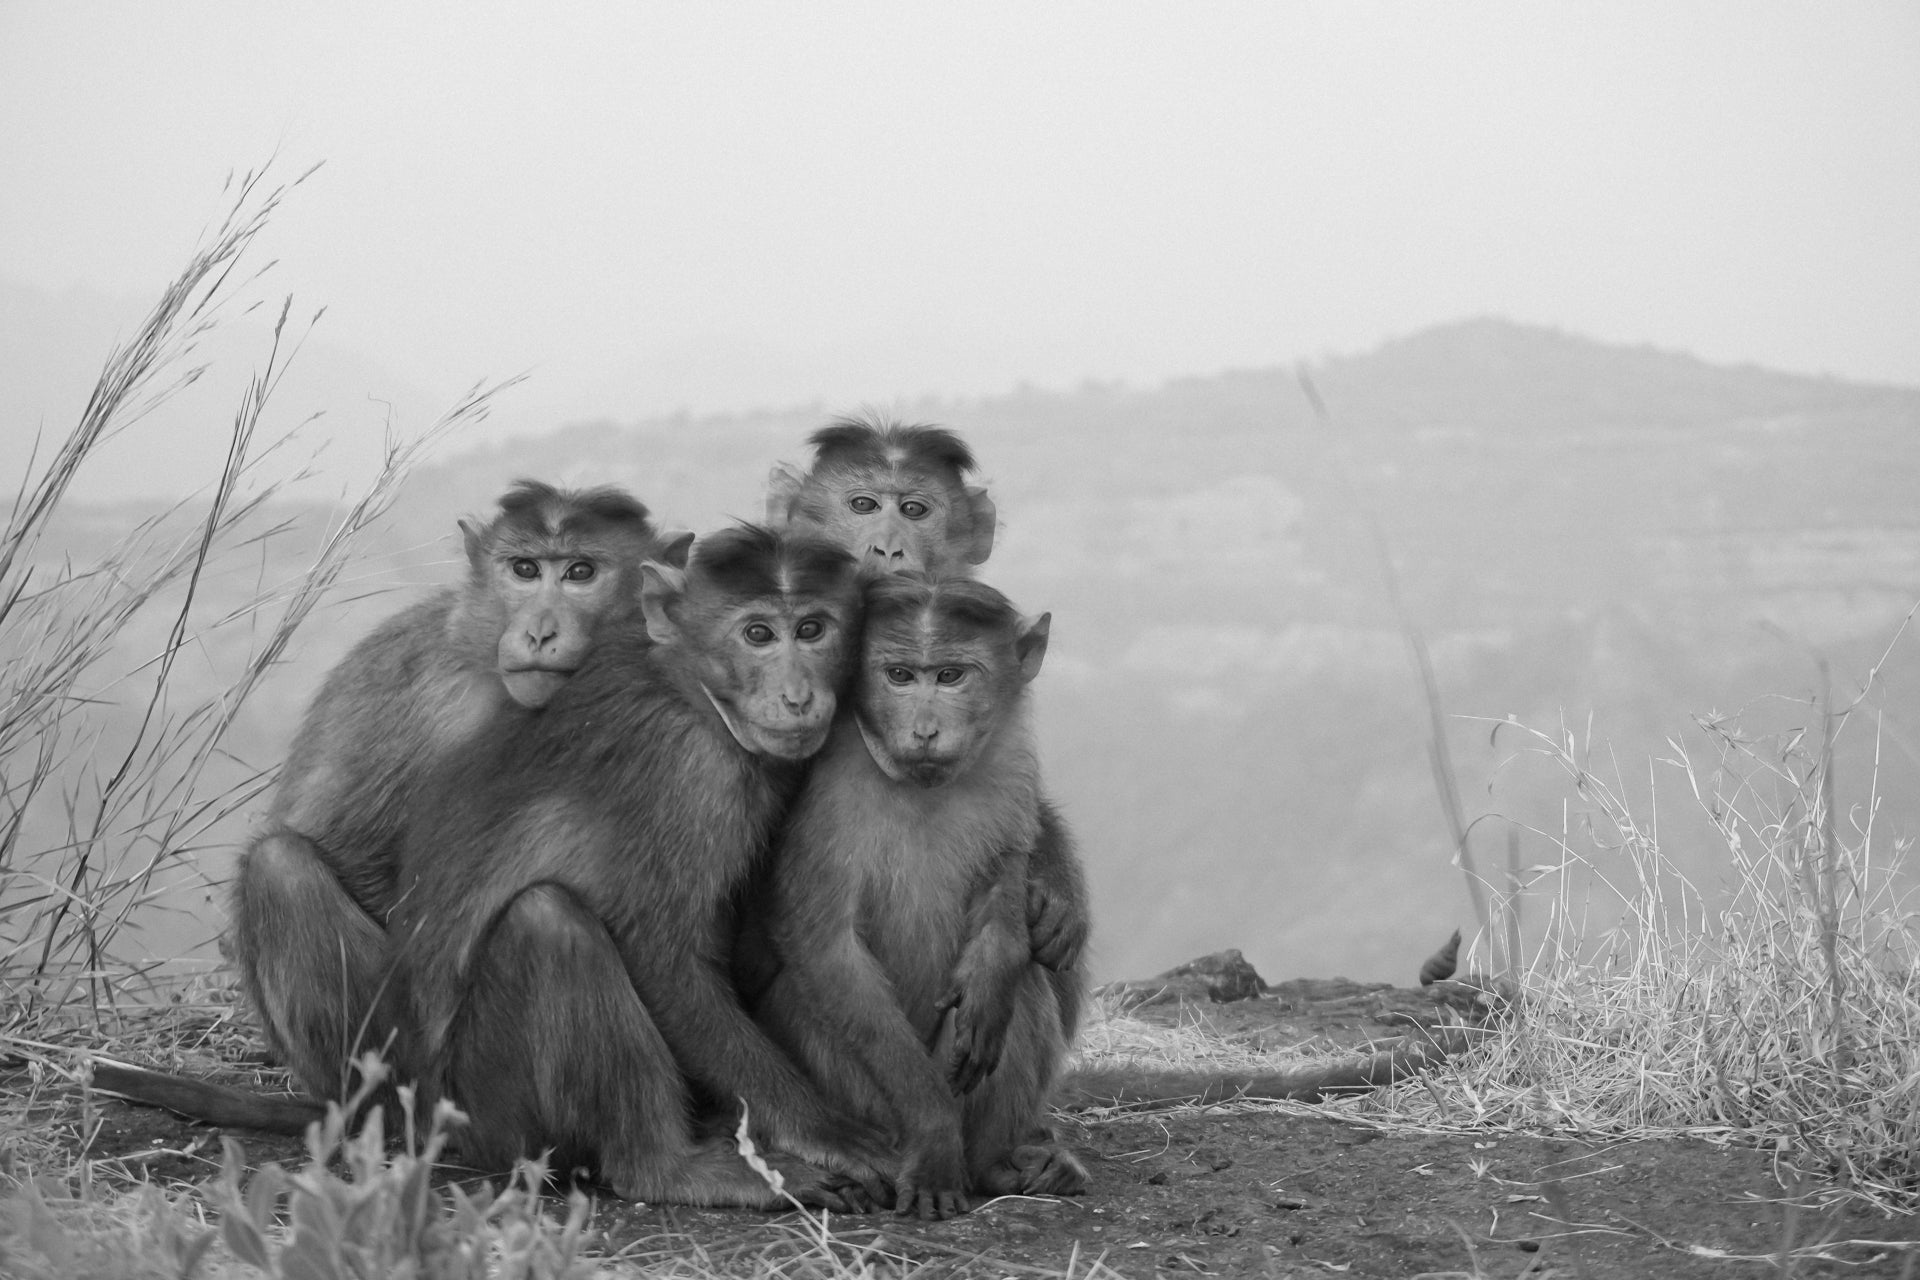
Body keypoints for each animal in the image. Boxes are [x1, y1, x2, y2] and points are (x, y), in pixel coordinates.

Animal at [229, 480, 690, 1110]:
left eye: (580, 572)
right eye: (525, 570)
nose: (539, 631)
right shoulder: (426, 690)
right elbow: (346, 847)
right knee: (280, 868)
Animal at [382, 524, 893, 1210]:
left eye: (812, 629)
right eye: (759, 634)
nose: (798, 695)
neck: (689, 691)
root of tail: (432, 1123)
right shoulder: (686, 772)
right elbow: (664, 957)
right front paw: (823, 1130)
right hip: (493, 1116)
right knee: (550, 923)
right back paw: (666, 1167)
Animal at [752, 571, 1090, 1219]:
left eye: (951, 675)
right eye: (900, 676)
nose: (926, 730)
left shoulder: (1011, 764)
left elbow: (1007, 873)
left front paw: (994, 963)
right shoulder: (829, 796)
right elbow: (826, 947)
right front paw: (934, 1134)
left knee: (1025, 987)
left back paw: (995, 1164)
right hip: (868, 1106)